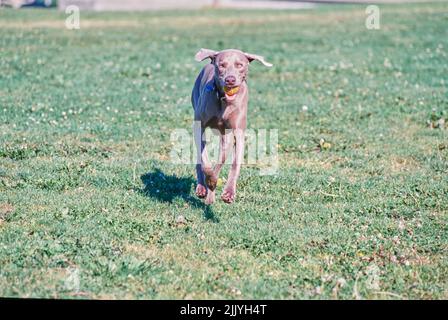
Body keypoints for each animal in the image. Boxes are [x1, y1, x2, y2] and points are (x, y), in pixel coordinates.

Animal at [191, 48, 272, 204]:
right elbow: (205, 160)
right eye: (221, 65)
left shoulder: (233, 132)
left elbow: (229, 161)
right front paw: (209, 181)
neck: (223, 100)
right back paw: (202, 188)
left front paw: (227, 192)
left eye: (239, 65)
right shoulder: (199, 126)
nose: (230, 79)